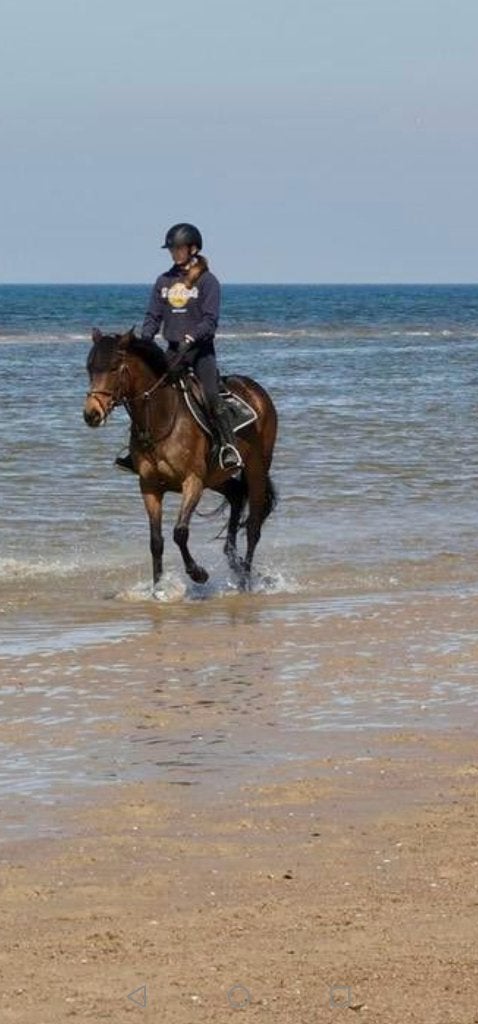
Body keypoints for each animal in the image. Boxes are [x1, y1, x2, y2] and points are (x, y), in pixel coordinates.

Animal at [83, 328, 278, 590]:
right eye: (90, 368)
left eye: (114, 368)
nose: (91, 414)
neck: (161, 418)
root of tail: (256, 390)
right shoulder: (150, 486)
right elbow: (156, 541)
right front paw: (158, 589)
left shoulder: (192, 481)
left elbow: (180, 532)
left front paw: (198, 573)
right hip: (215, 477)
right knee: (236, 495)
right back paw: (234, 563)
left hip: (256, 469)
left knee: (254, 527)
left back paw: (245, 580)